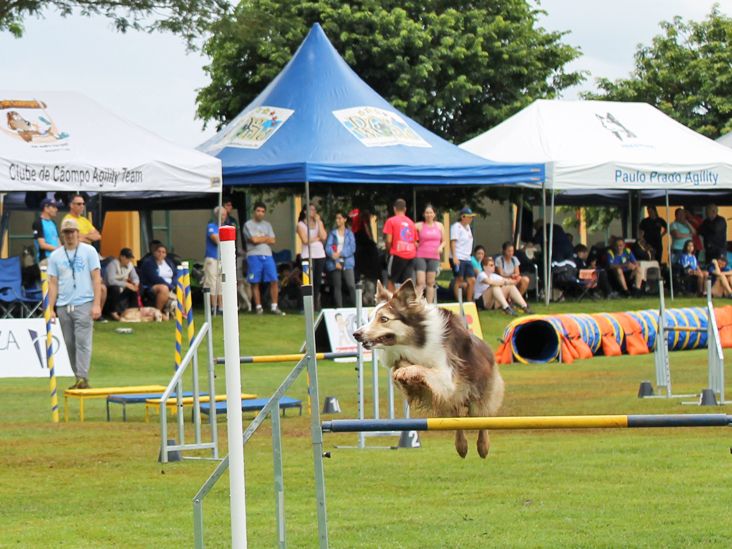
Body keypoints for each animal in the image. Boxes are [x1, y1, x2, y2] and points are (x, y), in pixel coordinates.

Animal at [354, 280, 504, 456]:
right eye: (369, 318)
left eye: (384, 319)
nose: (356, 334)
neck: (415, 343)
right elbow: (403, 367)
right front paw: (402, 372)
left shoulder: (447, 378)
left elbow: (424, 368)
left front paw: (407, 371)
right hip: (453, 402)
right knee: (457, 419)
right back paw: (461, 446)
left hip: (480, 395)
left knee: (482, 419)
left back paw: (483, 447)